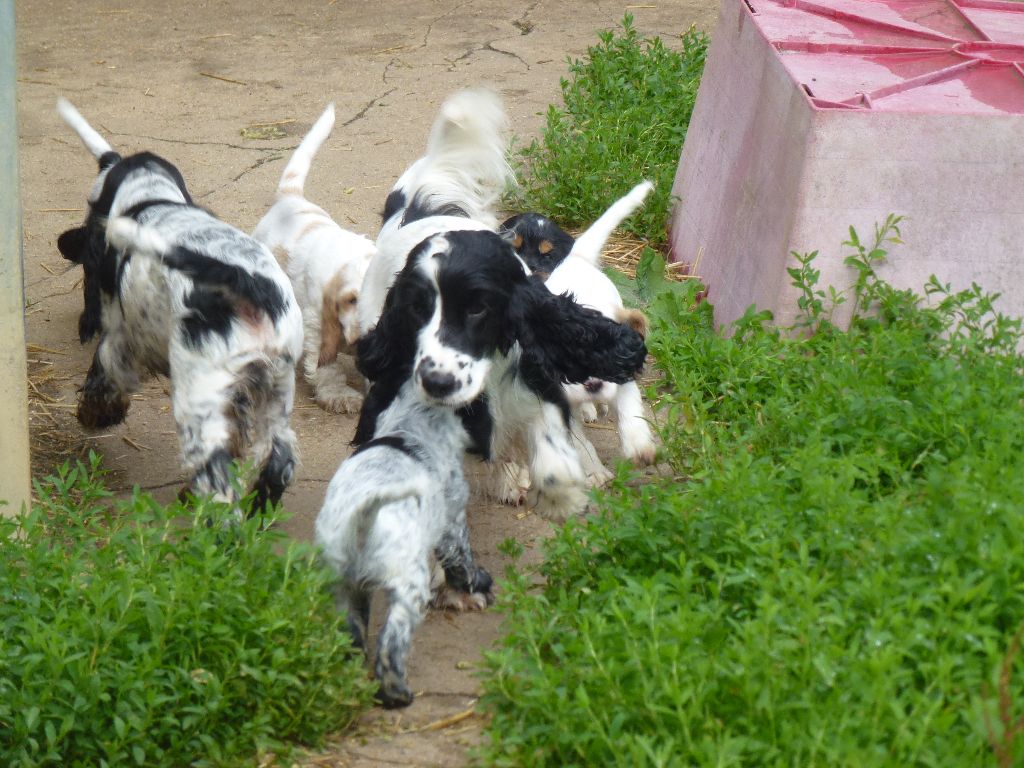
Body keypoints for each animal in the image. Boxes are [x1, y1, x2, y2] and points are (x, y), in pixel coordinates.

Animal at [55, 99, 301, 514]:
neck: (151, 198)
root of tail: (245, 283)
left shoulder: (119, 332)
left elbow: (104, 372)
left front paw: (94, 414)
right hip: (277, 388)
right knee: (278, 458)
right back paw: (257, 515)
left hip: (197, 396)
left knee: (217, 480)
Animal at [252, 103, 376, 415]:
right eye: (352, 299)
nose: (366, 335)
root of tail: (290, 197)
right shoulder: (317, 324)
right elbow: (327, 366)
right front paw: (339, 395)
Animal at [315, 378, 491, 708]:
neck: (409, 425)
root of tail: (365, 517)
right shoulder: (452, 521)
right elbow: (462, 561)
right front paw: (480, 584)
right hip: (408, 585)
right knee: (392, 642)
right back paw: (396, 693)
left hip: (342, 585)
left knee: (352, 633)